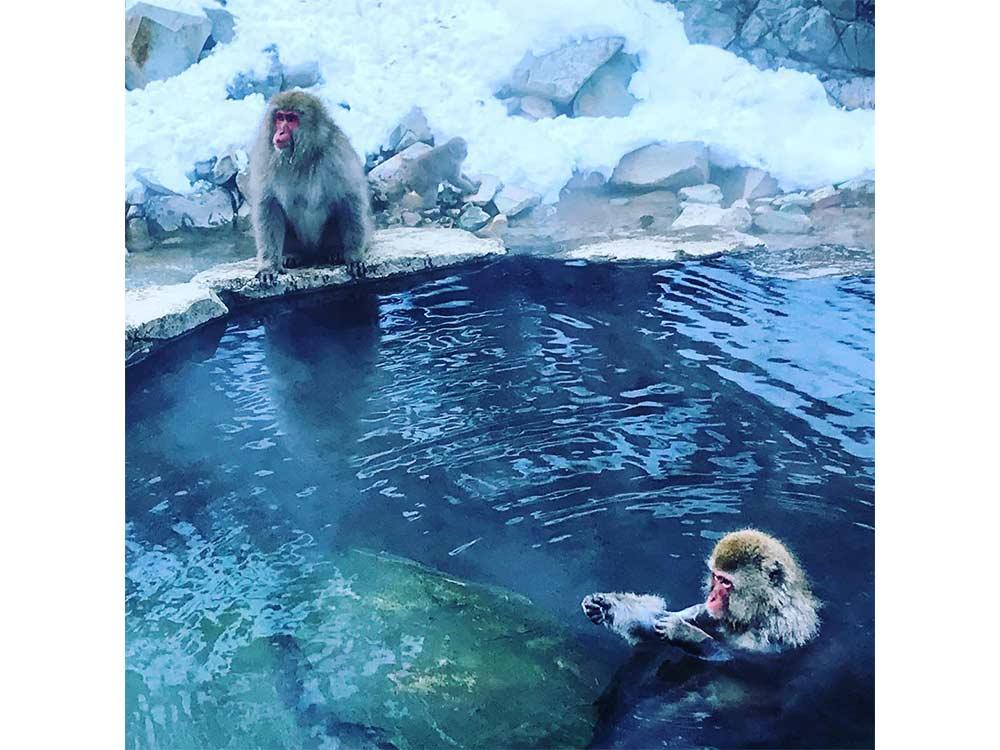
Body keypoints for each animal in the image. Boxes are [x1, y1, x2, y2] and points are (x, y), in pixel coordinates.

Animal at [248, 90, 373, 284]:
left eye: (291, 119)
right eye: (280, 117)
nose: (280, 132)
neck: (302, 158)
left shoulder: (338, 155)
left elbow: (350, 200)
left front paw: (354, 257)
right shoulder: (265, 158)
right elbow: (268, 206)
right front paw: (268, 266)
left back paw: (335, 251)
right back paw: (291, 254)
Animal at [582, 529, 820, 657]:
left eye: (726, 582)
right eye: (715, 577)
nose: (711, 597)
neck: (757, 613)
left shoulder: (782, 629)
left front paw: (684, 632)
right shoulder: (706, 612)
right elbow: (654, 623)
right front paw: (606, 606)